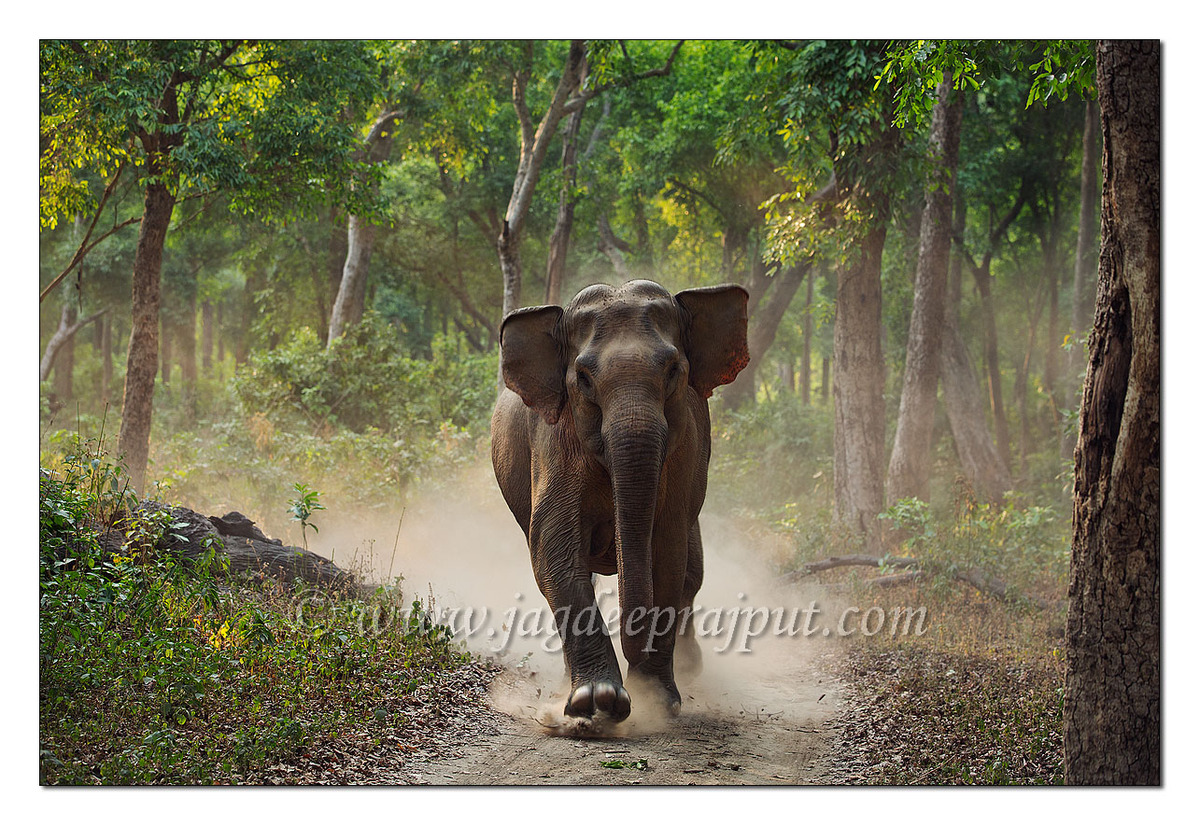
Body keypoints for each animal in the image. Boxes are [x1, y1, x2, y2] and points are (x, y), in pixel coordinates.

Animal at [490, 279, 749, 723]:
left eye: (673, 371)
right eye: (583, 378)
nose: (635, 653)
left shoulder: (684, 450)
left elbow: (667, 553)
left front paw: (656, 700)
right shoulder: (553, 440)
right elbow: (553, 549)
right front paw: (597, 702)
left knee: (692, 571)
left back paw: (689, 667)